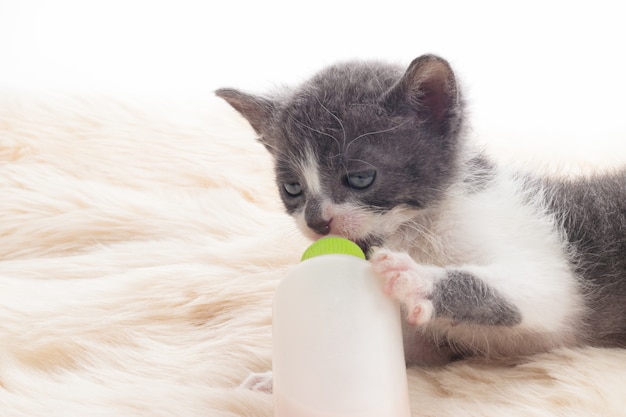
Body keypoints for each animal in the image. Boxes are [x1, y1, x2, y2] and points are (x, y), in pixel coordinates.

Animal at [216, 52, 624, 390]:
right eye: (292, 188)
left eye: (360, 178)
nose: (317, 221)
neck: (416, 230)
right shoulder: (429, 346)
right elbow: (407, 353)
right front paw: (279, 378)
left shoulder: (548, 263)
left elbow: (540, 292)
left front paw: (418, 278)